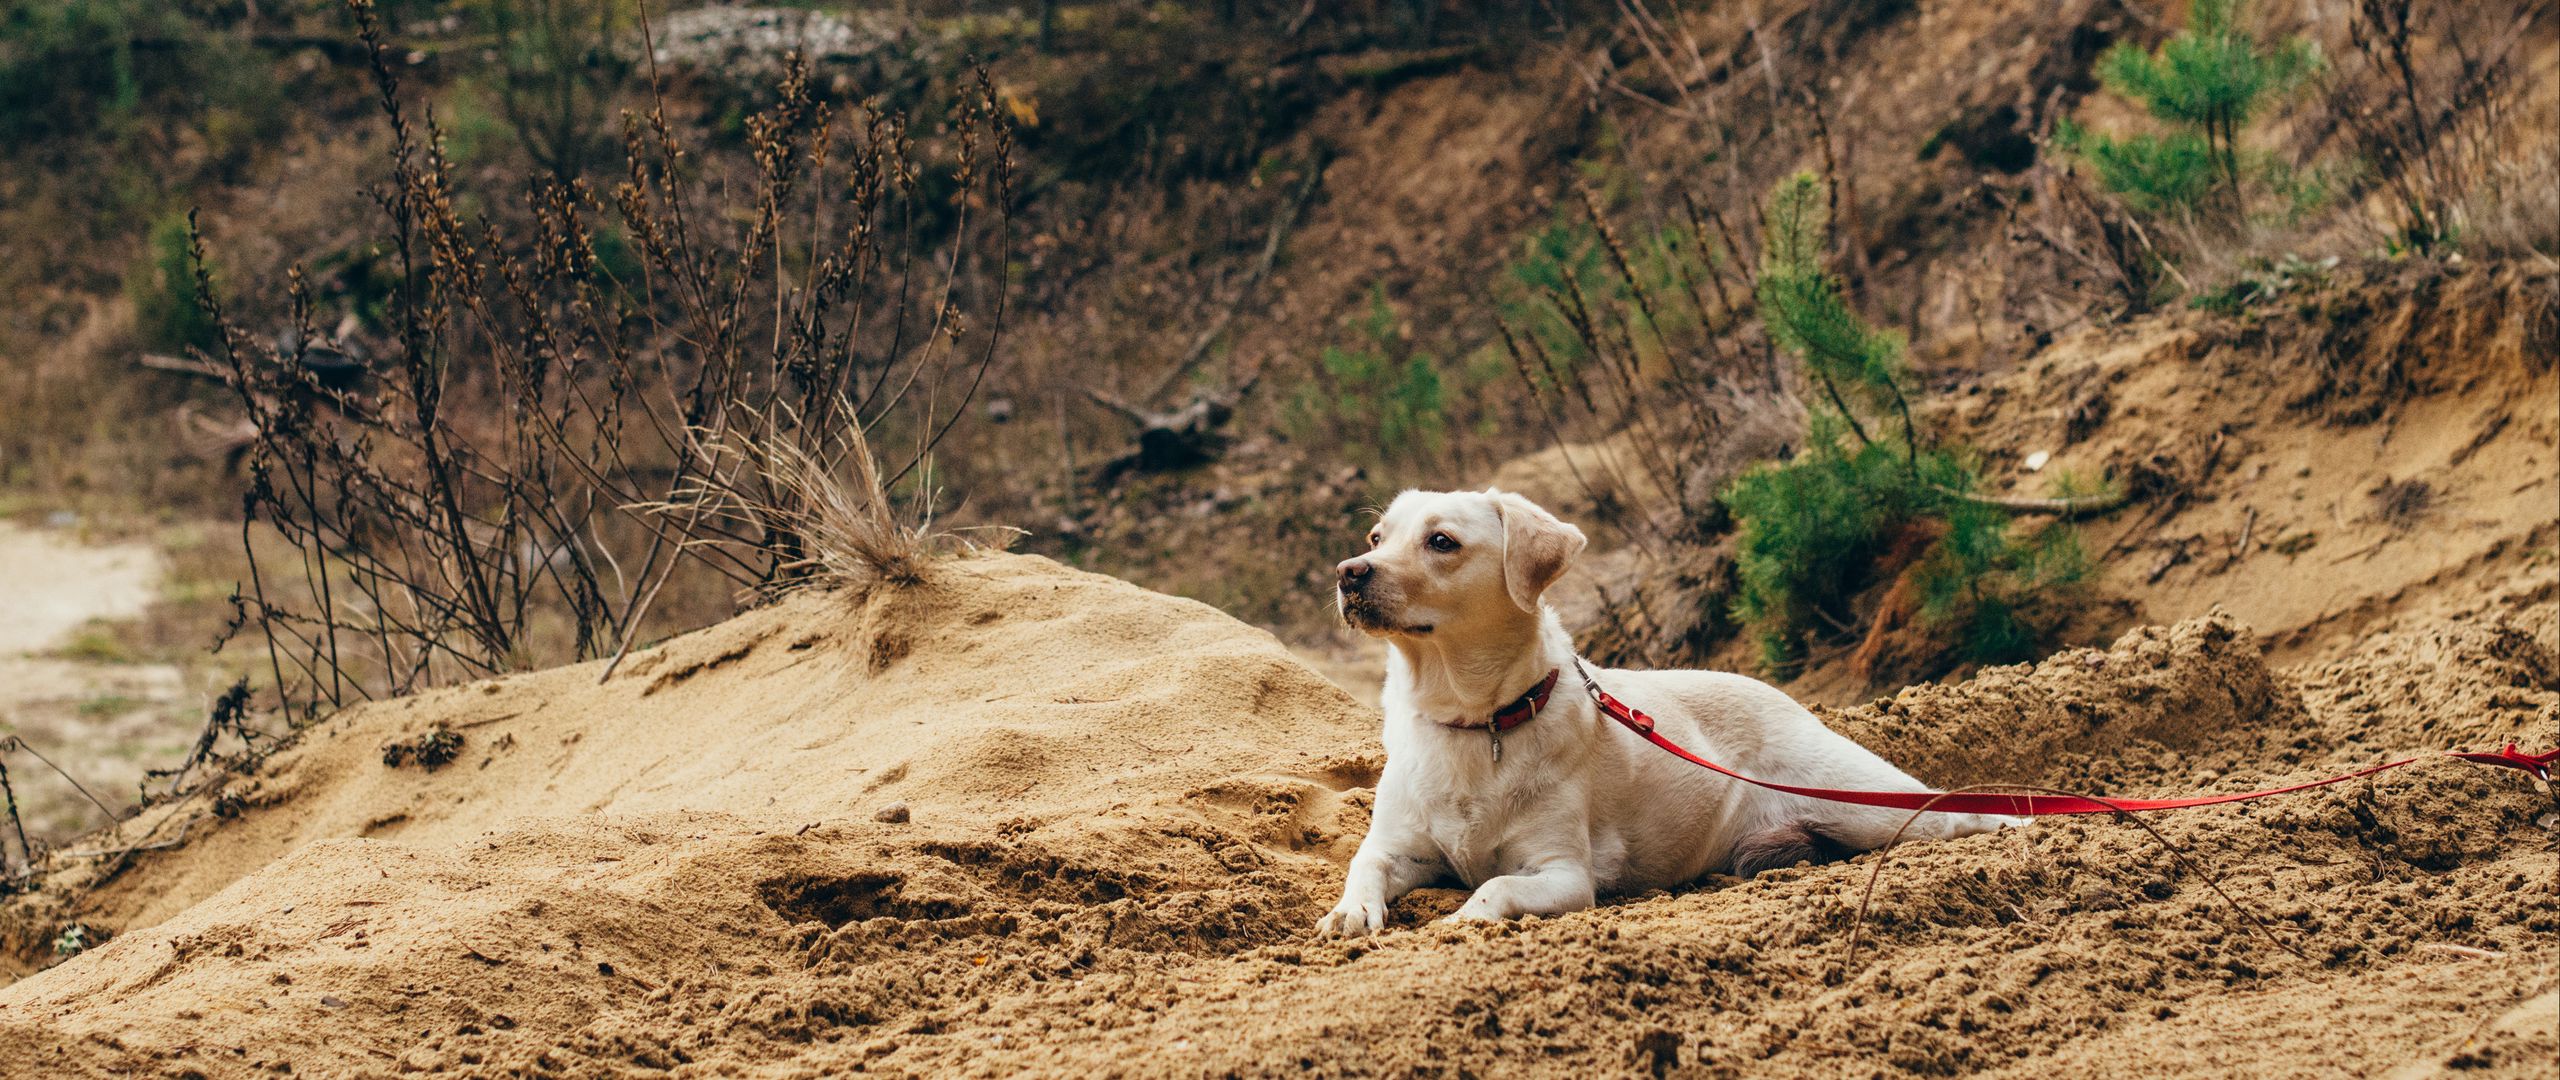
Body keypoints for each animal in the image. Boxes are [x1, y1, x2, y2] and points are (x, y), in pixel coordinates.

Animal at [1320, 486, 2017, 931]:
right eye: (1377, 537)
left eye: (1442, 541)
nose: (1349, 571)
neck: (1475, 721)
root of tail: (1781, 695)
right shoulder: (1399, 846)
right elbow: (1363, 865)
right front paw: (1348, 911)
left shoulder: (1564, 875)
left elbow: (1495, 886)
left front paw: (1463, 917)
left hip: (1861, 799)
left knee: (1948, 811)